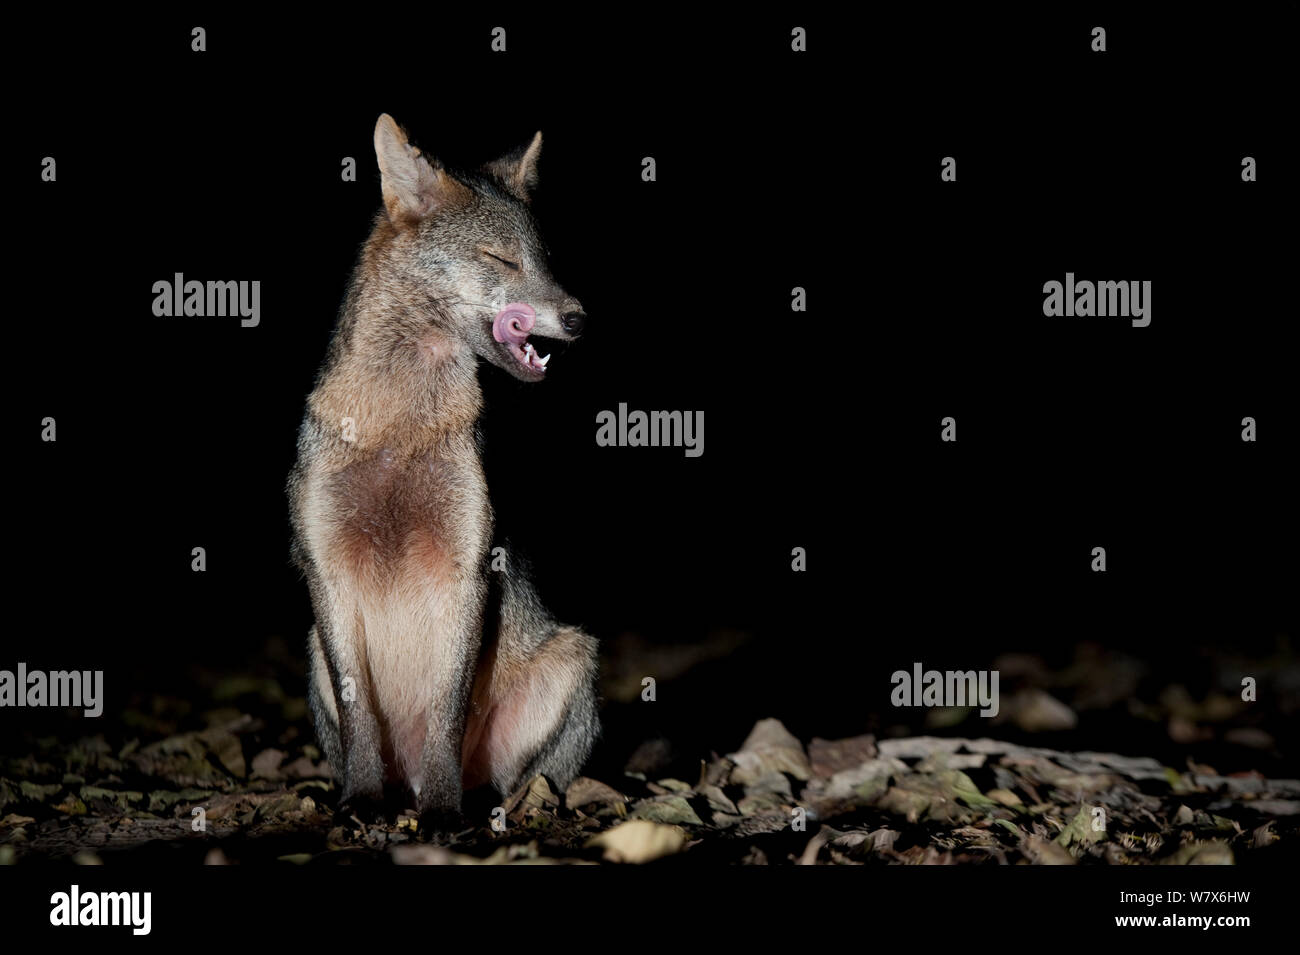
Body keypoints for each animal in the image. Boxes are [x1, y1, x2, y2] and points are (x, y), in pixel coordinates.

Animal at [289, 113, 598, 821]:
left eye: (544, 261)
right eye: (502, 259)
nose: (578, 319)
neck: (397, 436)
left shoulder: (467, 566)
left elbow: (447, 711)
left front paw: (440, 810)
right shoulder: (326, 564)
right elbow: (358, 715)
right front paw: (361, 799)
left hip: (572, 662)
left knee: (522, 784)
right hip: (313, 649)